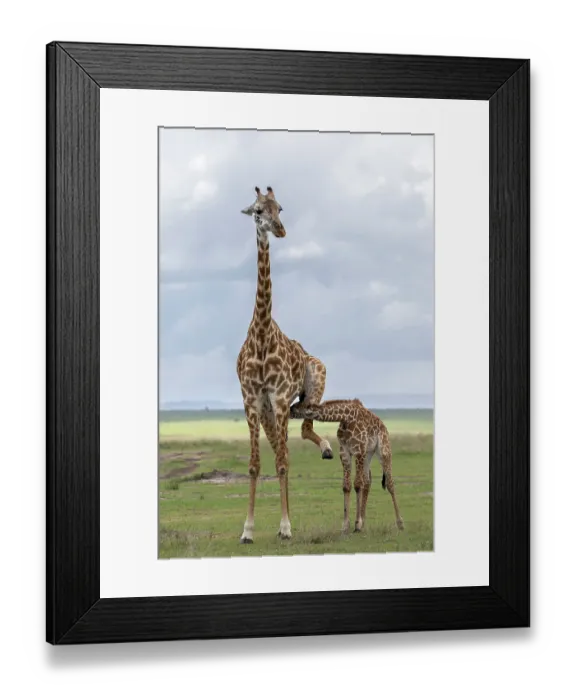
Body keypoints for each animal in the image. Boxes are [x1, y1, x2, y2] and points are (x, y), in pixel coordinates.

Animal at [236, 186, 333, 544]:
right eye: (257, 210)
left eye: (280, 208)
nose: (280, 230)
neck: (262, 333)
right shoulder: (252, 400)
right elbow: (255, 463)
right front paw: (247, 530)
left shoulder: (277, 397)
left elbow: (280, 462)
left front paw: (286, 526)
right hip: (269, 412)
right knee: (284, 444)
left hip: (312, 384)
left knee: (297, 436)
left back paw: (326, 449)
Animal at [290, 398, 404, 534]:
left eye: (298, 405)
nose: (289, 410)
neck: (345, 418)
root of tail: (383, 425)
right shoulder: (344, 452)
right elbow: (346, 486)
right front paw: (346, 525)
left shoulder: (358, 450)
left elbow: (357, 484)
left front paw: (357, 524)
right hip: (368, 453)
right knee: (367, 481)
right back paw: (363, 521)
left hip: (383, 450)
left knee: (389, 483)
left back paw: (400, 523)